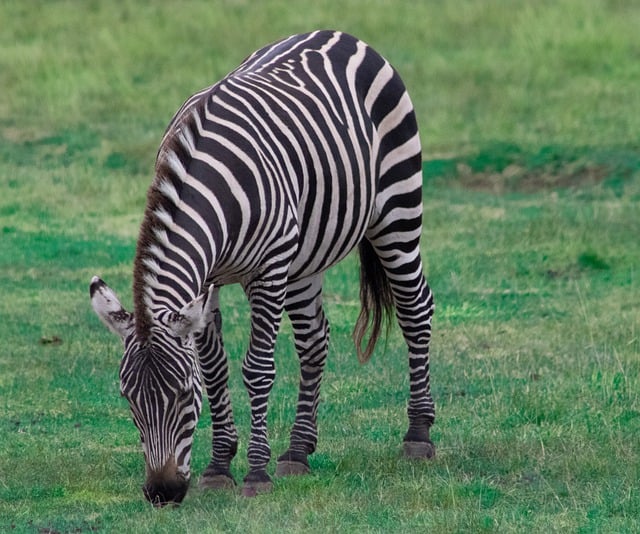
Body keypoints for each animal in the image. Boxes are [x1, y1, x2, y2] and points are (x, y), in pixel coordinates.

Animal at [90, 29, 436, 506]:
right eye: (128, 400)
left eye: (183, 396)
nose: (162, 492)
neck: (208, 183)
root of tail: (339, 34)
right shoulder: (209, 279)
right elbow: (215, 368)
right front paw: (219, 466)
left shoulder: (268, 271)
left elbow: (257, 368)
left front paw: (255, 472)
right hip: (307, 254)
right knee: (315, 340)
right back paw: (297, 451)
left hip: (397, 210)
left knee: (415, 309)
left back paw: (418, 435)